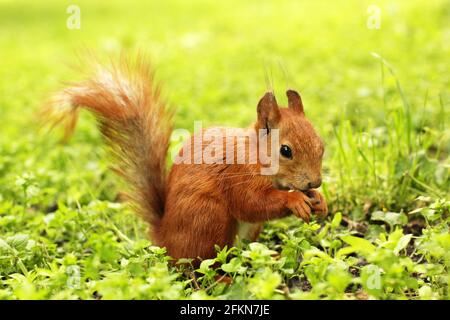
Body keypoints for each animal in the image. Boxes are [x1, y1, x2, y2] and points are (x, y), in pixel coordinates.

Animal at [45, 57, 326, 262]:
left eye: (322, 144)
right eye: (286, 150)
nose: (315, 183)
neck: (255, 154)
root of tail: (165, 238)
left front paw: (319, 201)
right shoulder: (236, 175)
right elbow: (252, 203)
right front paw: (294, 199)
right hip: (208, 218)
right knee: (199, 265)